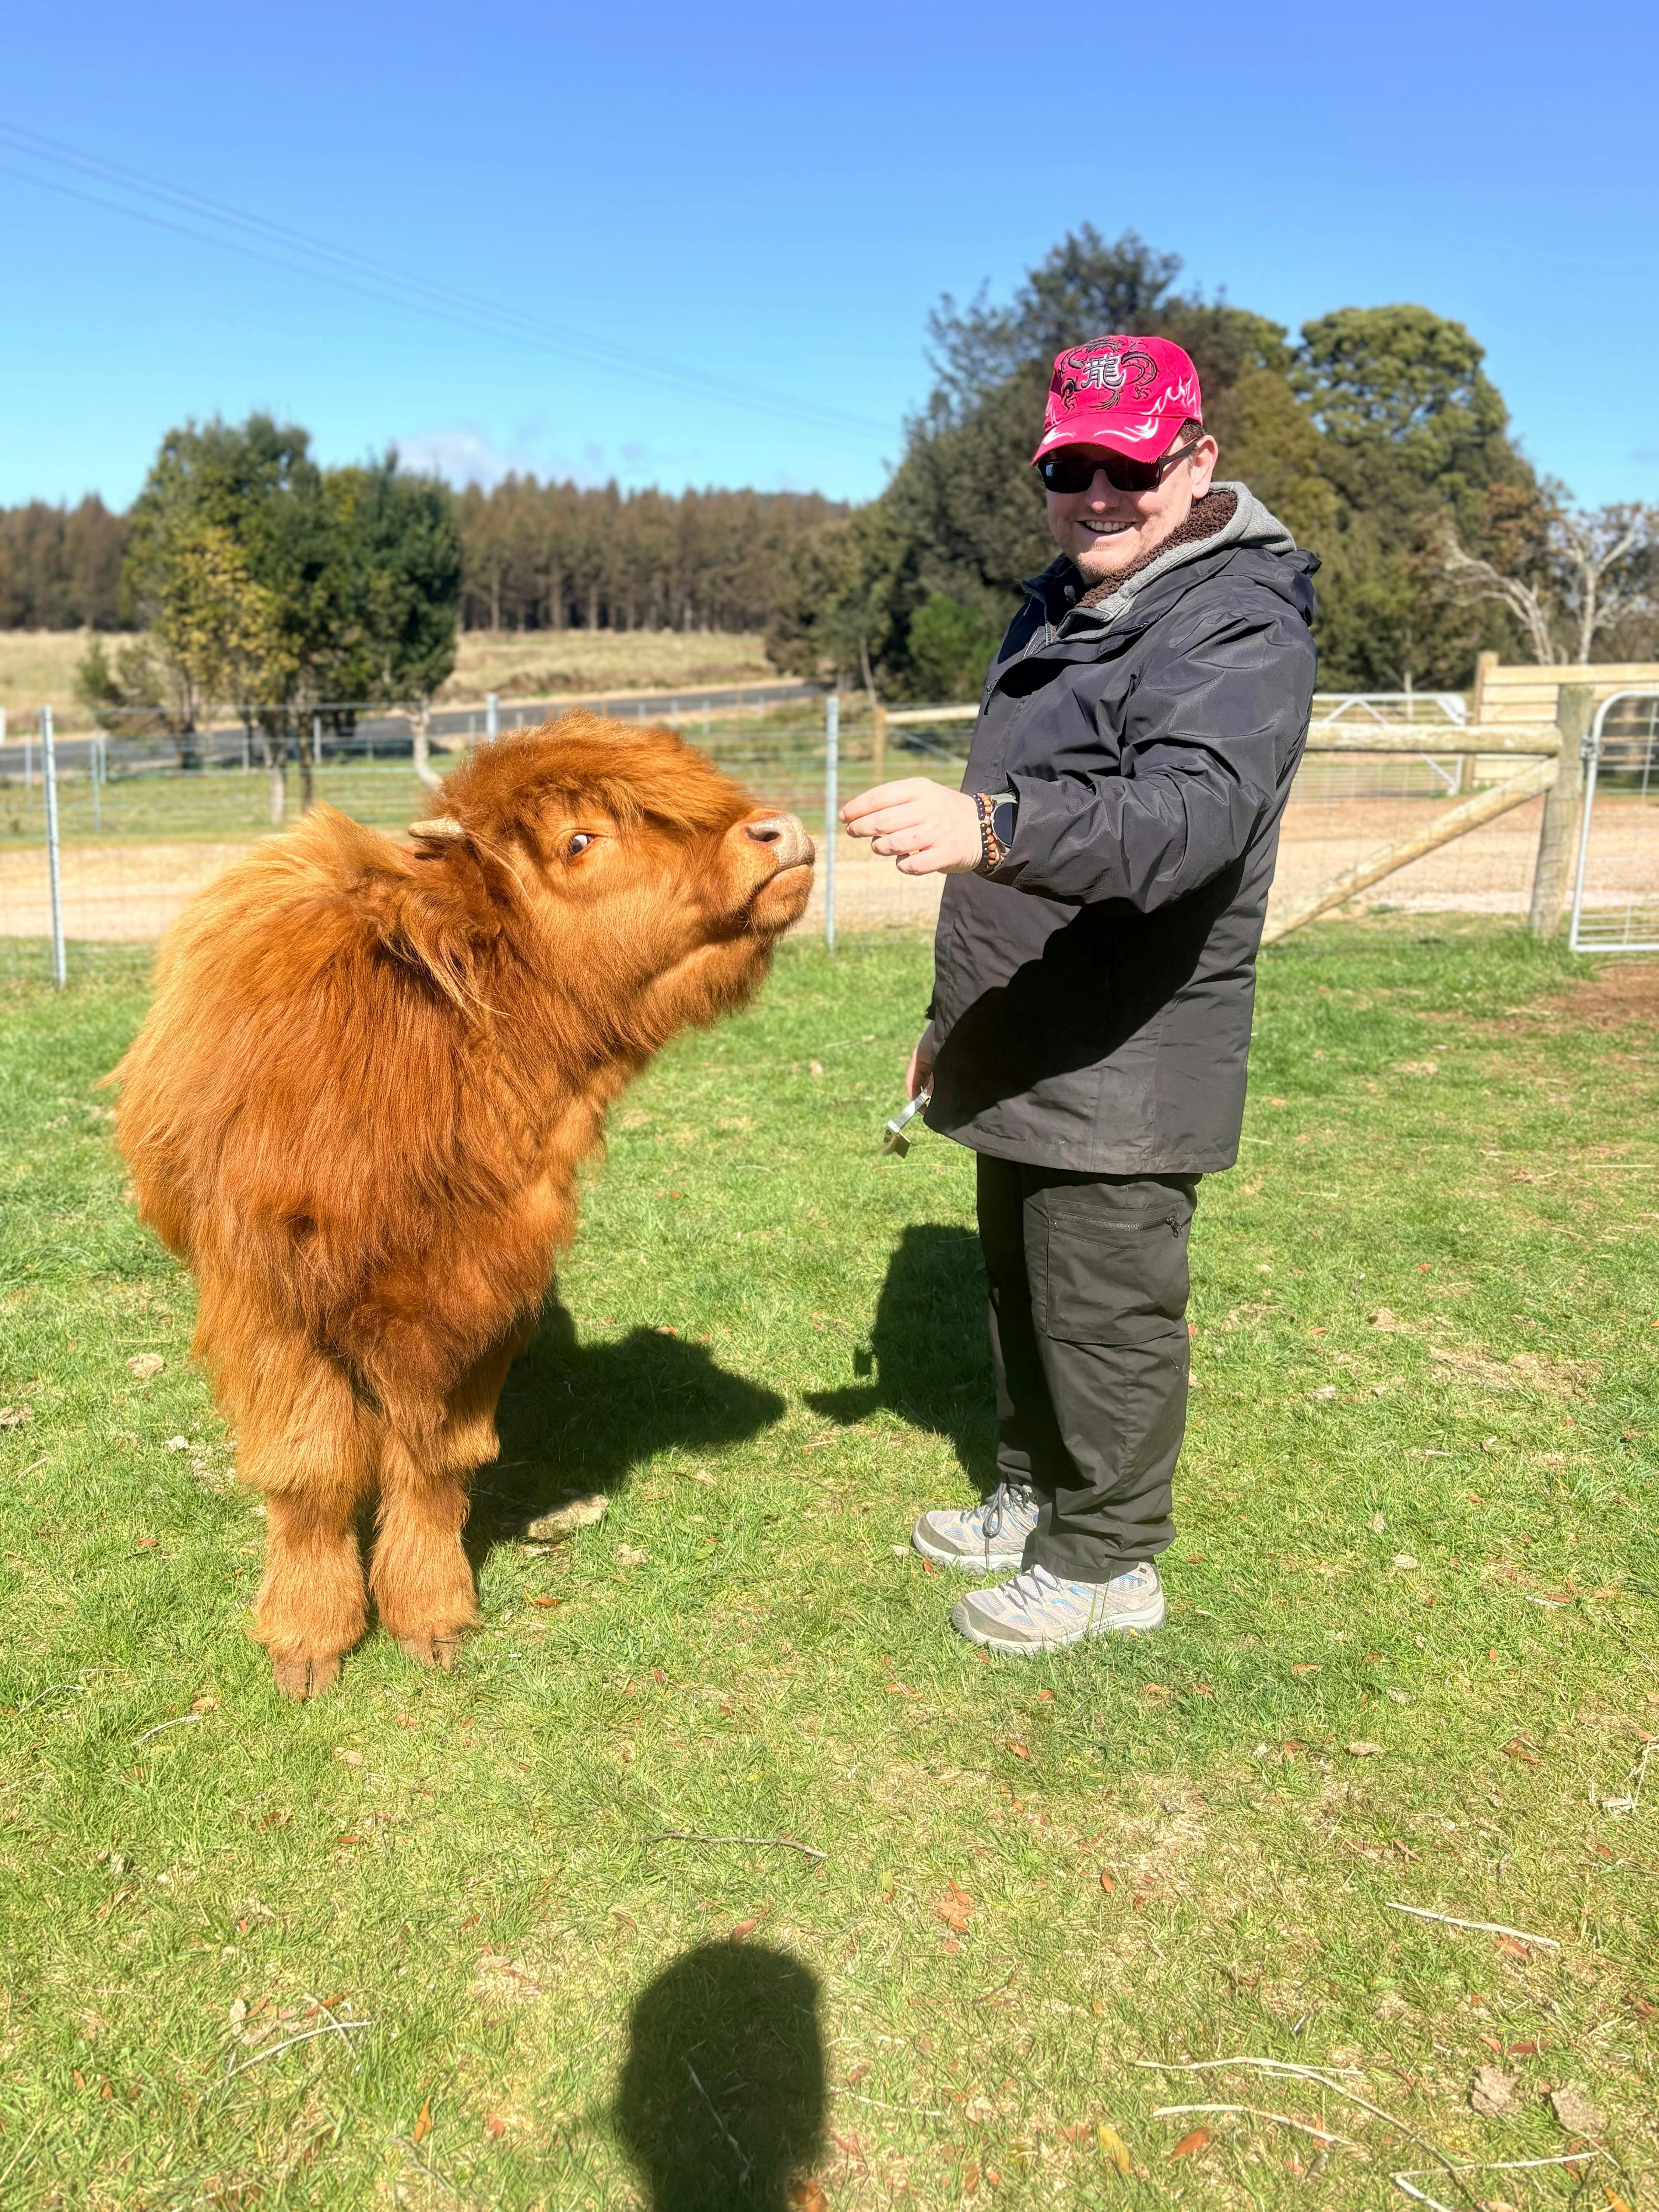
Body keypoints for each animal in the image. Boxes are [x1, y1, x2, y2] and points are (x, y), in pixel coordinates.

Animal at [114, 715, 814, 1698]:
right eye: (581, 840)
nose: (779, 832)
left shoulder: (482, 1293)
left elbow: (435, 1465)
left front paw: (431, 1613)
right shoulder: (273, 1312)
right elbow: (309, 1476)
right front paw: (308, 1639)